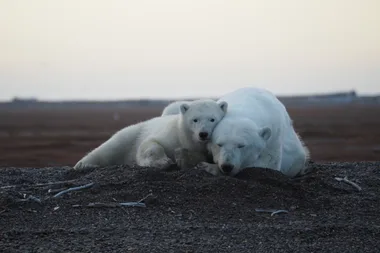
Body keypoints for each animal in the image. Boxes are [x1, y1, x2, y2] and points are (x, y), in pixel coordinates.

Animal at [75, 99, 227, 170]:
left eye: (212, 119)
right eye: (195, 119)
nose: (203, 134)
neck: (187, 139)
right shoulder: (173, 134)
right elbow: (151, 143)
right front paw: (163, 162)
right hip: (130, 134)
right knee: (110, 147)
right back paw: (83, 164)